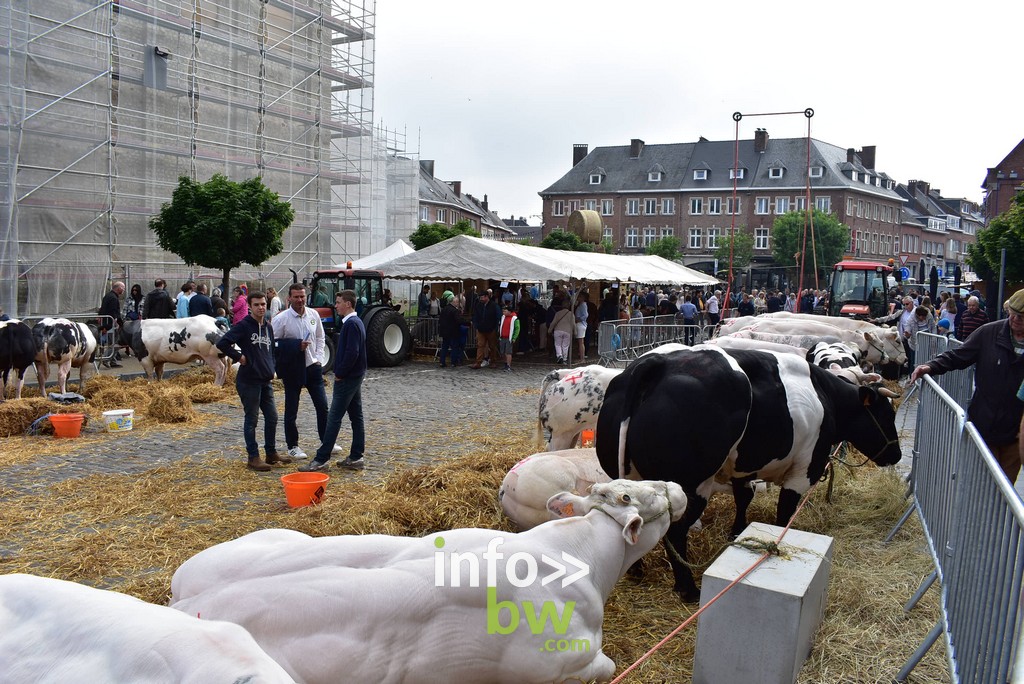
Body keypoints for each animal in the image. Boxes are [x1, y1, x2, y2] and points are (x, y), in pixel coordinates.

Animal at [169, 481, 688, 684]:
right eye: (638, 495)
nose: (677, 488)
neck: (577, 556)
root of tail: (181, 598)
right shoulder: (559, 662)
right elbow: (609, 664)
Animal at [589, 344, 901, 602]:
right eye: (887, 414)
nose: (896, 455)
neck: (826, 396)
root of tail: (656, 363)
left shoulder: (743, 469)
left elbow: (744, 498)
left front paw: (737, 532)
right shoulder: (803, 470)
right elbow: (785, 513)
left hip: (632, 480)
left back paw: (636, 569)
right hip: (690, 485)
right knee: (676, 531)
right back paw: (688, 589)